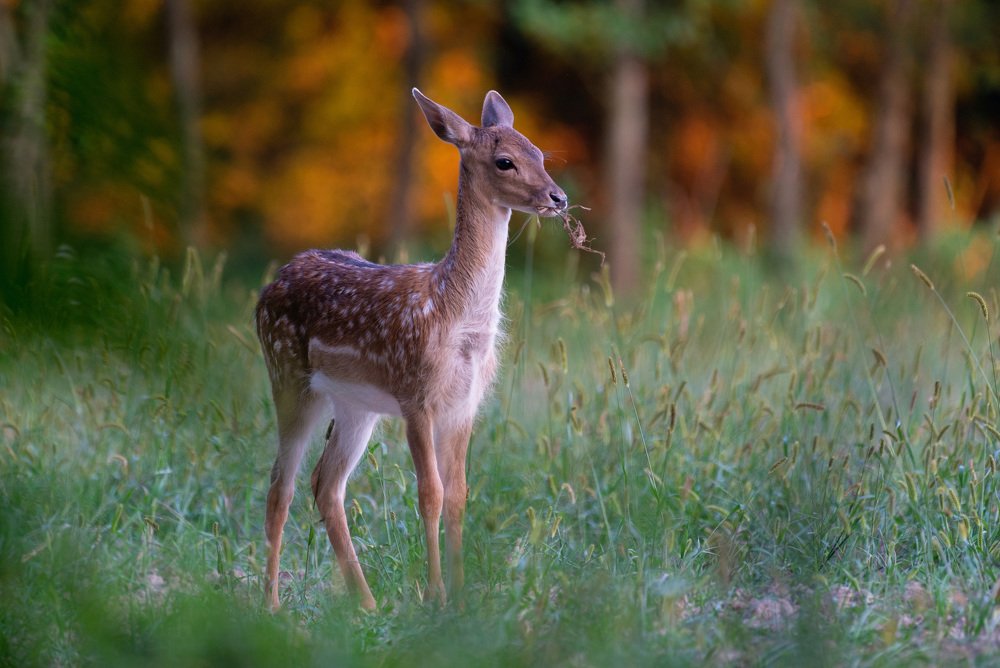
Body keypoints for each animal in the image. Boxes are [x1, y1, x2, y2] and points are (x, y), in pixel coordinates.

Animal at [255, 88, 568, 611]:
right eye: (505, 161)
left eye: (540, 154)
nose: (558, 198)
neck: (453, 315)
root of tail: (269, 285)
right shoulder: (415, 393)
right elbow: (430, 494)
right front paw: (436, 594)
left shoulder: (464, 404)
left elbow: (459, 493)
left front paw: (460, 595)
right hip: (289, 378)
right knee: (281, 485)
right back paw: (272, 604)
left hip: (356, 405)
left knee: (326, 484)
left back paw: (365, 602)